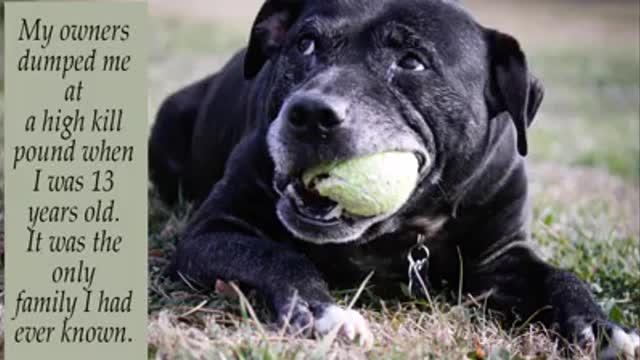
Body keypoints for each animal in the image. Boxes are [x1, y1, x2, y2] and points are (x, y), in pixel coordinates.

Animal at [151, 0, 640, 358]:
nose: (309, 113)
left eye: (412, 62)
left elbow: (561, 277)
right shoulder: (214, 230)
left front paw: (603, 328)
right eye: (305, 43)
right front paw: (322, 311)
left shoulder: (502, 258)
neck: (403, 226)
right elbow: (277, 256)